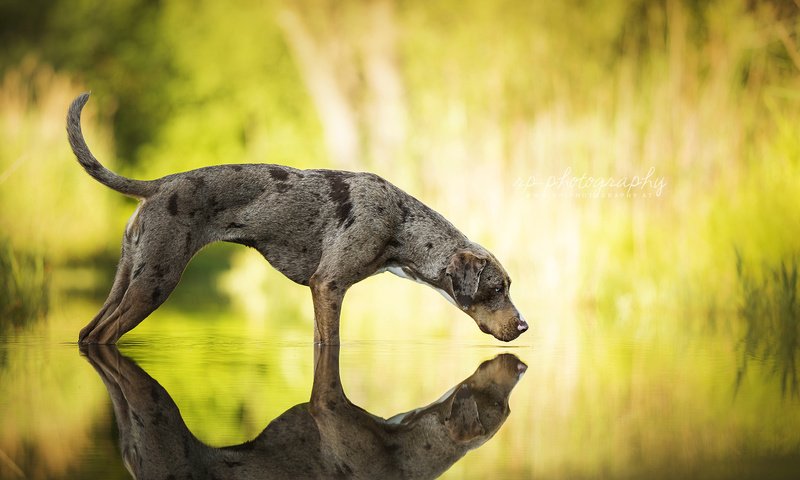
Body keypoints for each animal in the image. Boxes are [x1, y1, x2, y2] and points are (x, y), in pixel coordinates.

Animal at [65, 92, 528, 344]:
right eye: (496, 288)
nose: (524, 326)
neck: (399, 223)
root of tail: (159, 184)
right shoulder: (328, 287)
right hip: (155, 283)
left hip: (128, 278)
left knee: (89, 333)